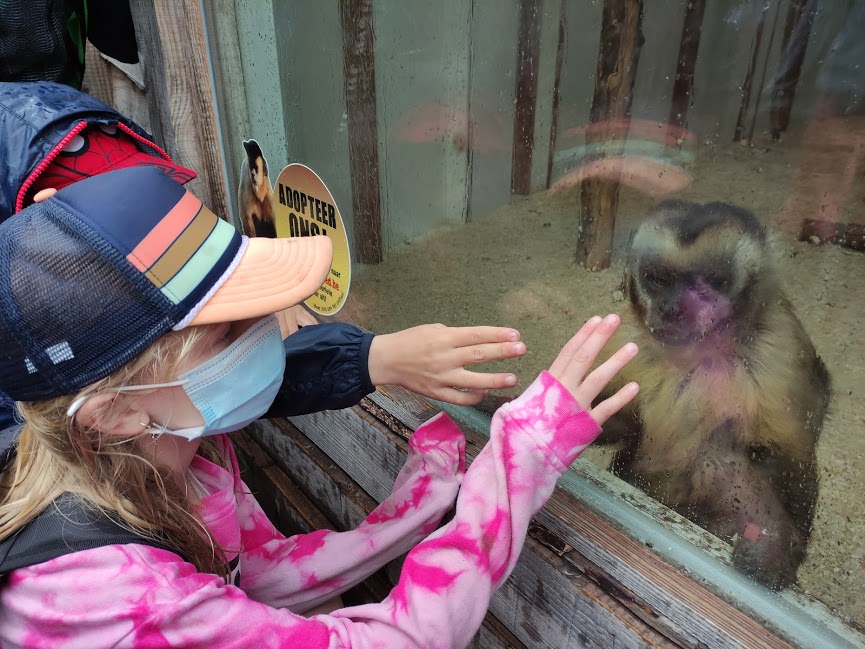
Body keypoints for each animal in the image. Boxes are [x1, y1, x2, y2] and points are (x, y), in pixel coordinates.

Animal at [596, 200, 832, 588]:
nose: (671, 309)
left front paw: (781, 547)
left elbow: (790, 455)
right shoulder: (627, 338)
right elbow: (626, 421)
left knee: (721, 453)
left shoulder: (781, 350)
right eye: (659, 278)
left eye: (710, 283)